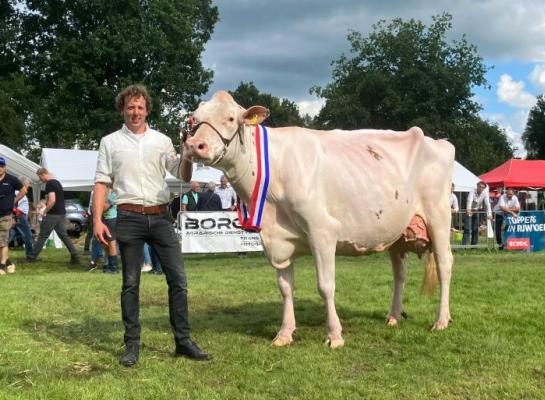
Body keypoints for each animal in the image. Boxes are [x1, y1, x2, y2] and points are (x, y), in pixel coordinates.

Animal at [181, 90, 452, 346]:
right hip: (395, 231)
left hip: (438, 218)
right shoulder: (277, 240)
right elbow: (285, 288)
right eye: (195, 118)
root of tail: (437, 141)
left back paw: (441, 320)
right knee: (399, 273)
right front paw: (284, 333)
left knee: (444, 265)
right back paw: (394, 316)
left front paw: (335, 335)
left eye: (230, 118)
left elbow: (325, 286)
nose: (195, 145)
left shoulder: (323, 230)